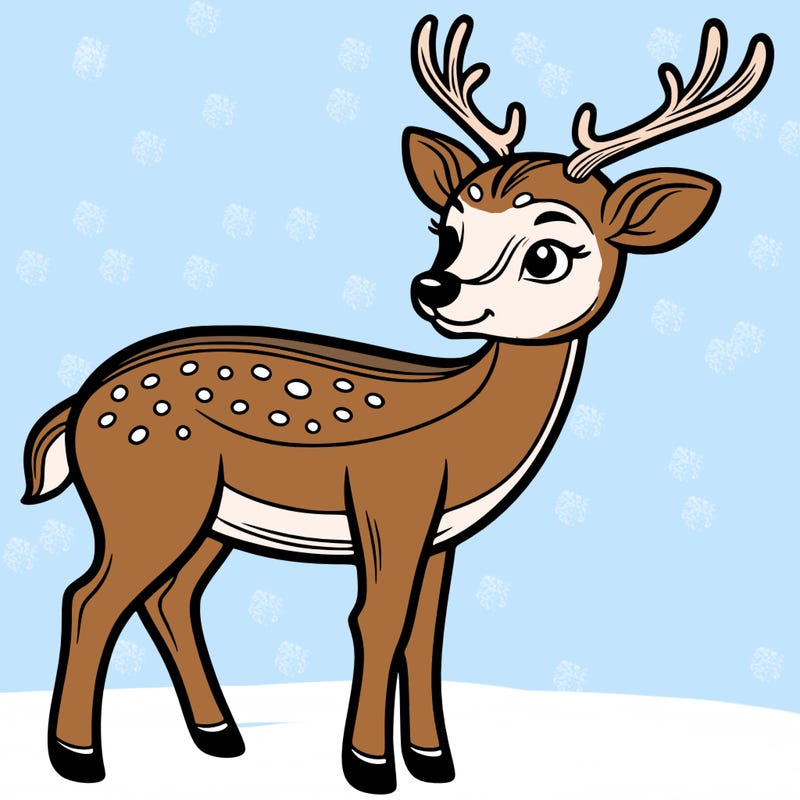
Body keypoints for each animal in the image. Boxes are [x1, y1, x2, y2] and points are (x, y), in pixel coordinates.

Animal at [22, 14, 772, 795]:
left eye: (547, 253)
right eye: (448, 227)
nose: (435, 288)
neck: (467, 430)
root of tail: (80, 402)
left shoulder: (443, 534)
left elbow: (426, 633)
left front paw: (435, 761)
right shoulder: (392, 498)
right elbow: (377, 621)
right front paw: (369, 765)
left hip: (207, 520)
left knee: (169, 599)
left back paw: (220, 737)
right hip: (148, 496)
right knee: (90, 597)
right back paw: (78, 757)